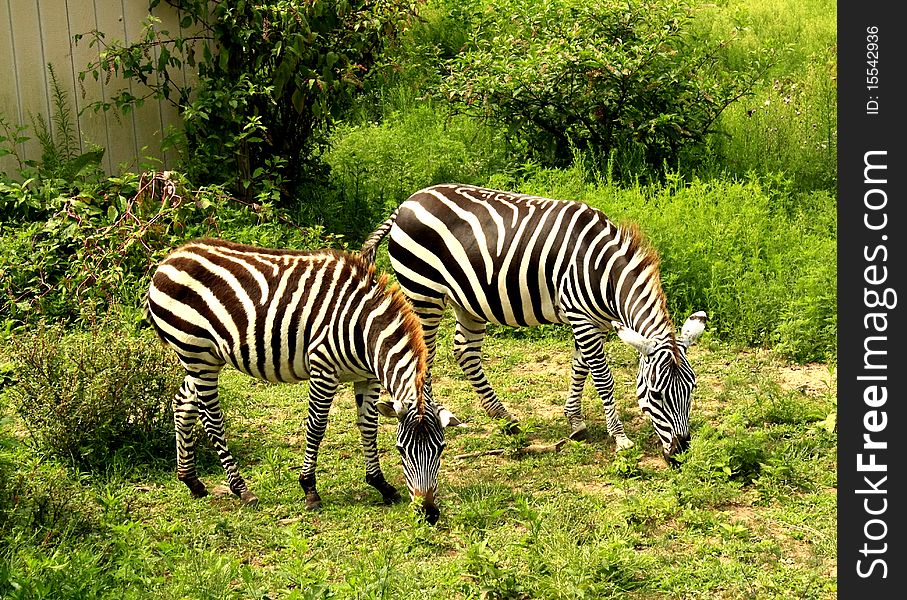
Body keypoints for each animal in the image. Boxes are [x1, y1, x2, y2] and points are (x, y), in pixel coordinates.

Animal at [146, 237, 464, 524]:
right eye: (401, 450)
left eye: (441, 449)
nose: (428, 513)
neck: (364, 331)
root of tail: (168, 260)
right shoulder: (323, 367)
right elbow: (317, 427)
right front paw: (309, 489)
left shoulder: (367, 377)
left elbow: (368, 427)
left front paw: (380, 484)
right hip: (198, 354)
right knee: (211, 418)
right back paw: (241, 489)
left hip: (202, 358)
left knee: (182, 403)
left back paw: (191, 480)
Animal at [362, 183, 708, 464]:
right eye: (655, 395)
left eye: (692, 389)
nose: (681, 453)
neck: (602, 272)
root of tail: (406, 203)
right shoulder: (580, 316)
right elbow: (602, 377)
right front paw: (620, 437)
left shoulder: (590, 319)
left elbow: (580, 367)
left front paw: (575, 422)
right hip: (423, 293)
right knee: (425, 357)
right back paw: (434, 416)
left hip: (466, 300)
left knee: (465, 352)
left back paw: (505, 420)